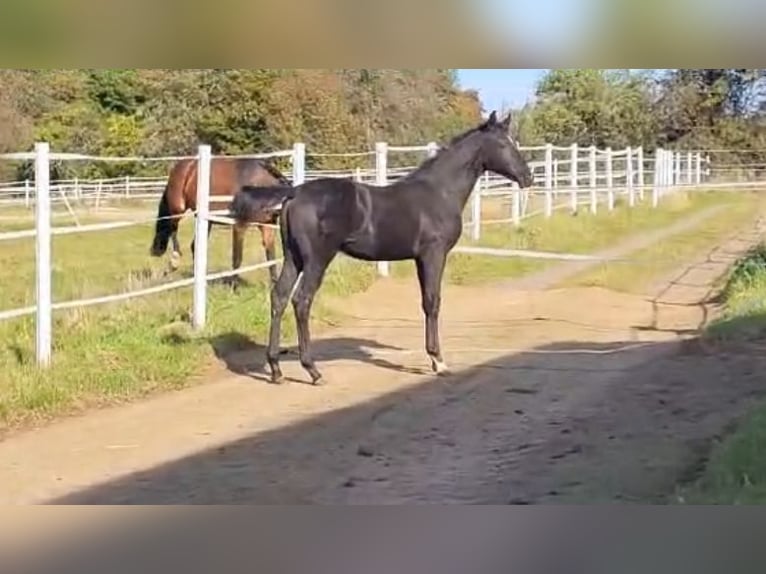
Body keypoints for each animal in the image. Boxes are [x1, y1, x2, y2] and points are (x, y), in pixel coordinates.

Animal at [152, 156, 292, 284]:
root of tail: (180, 166)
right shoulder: (239, 226)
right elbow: (237, 257)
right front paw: (234, 287)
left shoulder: (267, 225)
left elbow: (271, 256)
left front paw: (273, 284)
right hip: (178, 209)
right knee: (172, 228)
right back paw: (174, 263)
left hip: (206, 220)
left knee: (194, 245)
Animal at [231, 110, 536, 384]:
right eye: (503, 144)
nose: (527, 177)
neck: (440, 192)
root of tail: (294, 193)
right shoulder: (433, 254)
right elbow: (433, 301)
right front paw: (438, 361)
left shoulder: (419, 258)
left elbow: (426, 302)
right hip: (317, 260)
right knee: (301, 301)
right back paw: (313, 370)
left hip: (293, 258)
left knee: (279, 297)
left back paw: (276, 369)